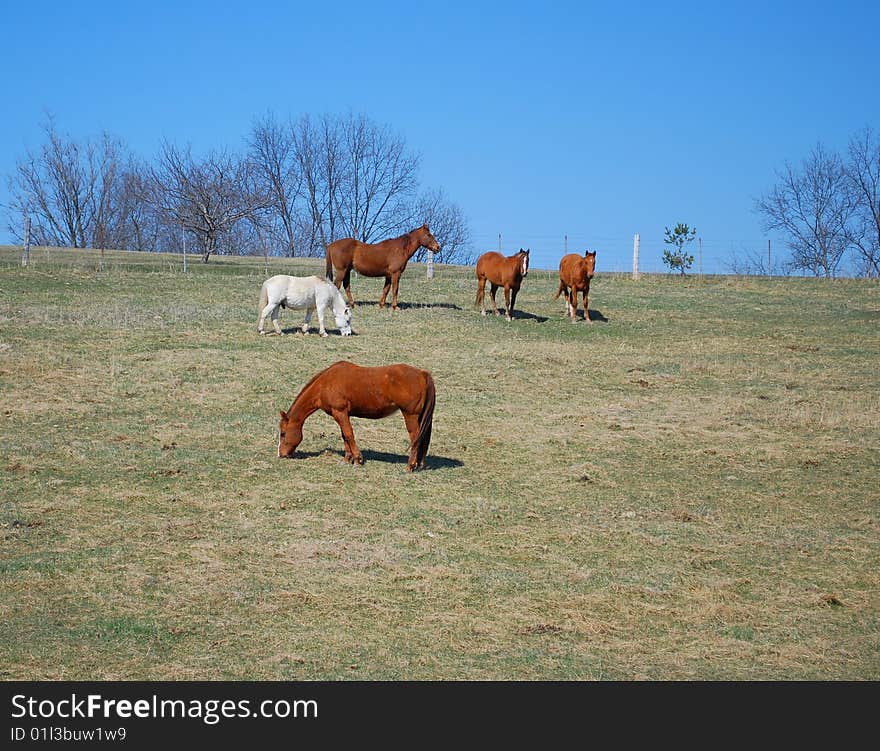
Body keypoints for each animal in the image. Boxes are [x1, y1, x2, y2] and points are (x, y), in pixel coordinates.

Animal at [278, 362, 436, 472]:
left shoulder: (340, 412)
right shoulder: (341, 415)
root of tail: (422, 373)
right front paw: (348, 459)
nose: (281, 454)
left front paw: (358, 460)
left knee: (415, 438)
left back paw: (410, 466)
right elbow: (345, 436)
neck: (325, 384)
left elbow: (349, 435)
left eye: (283, 433)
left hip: (410, 415)